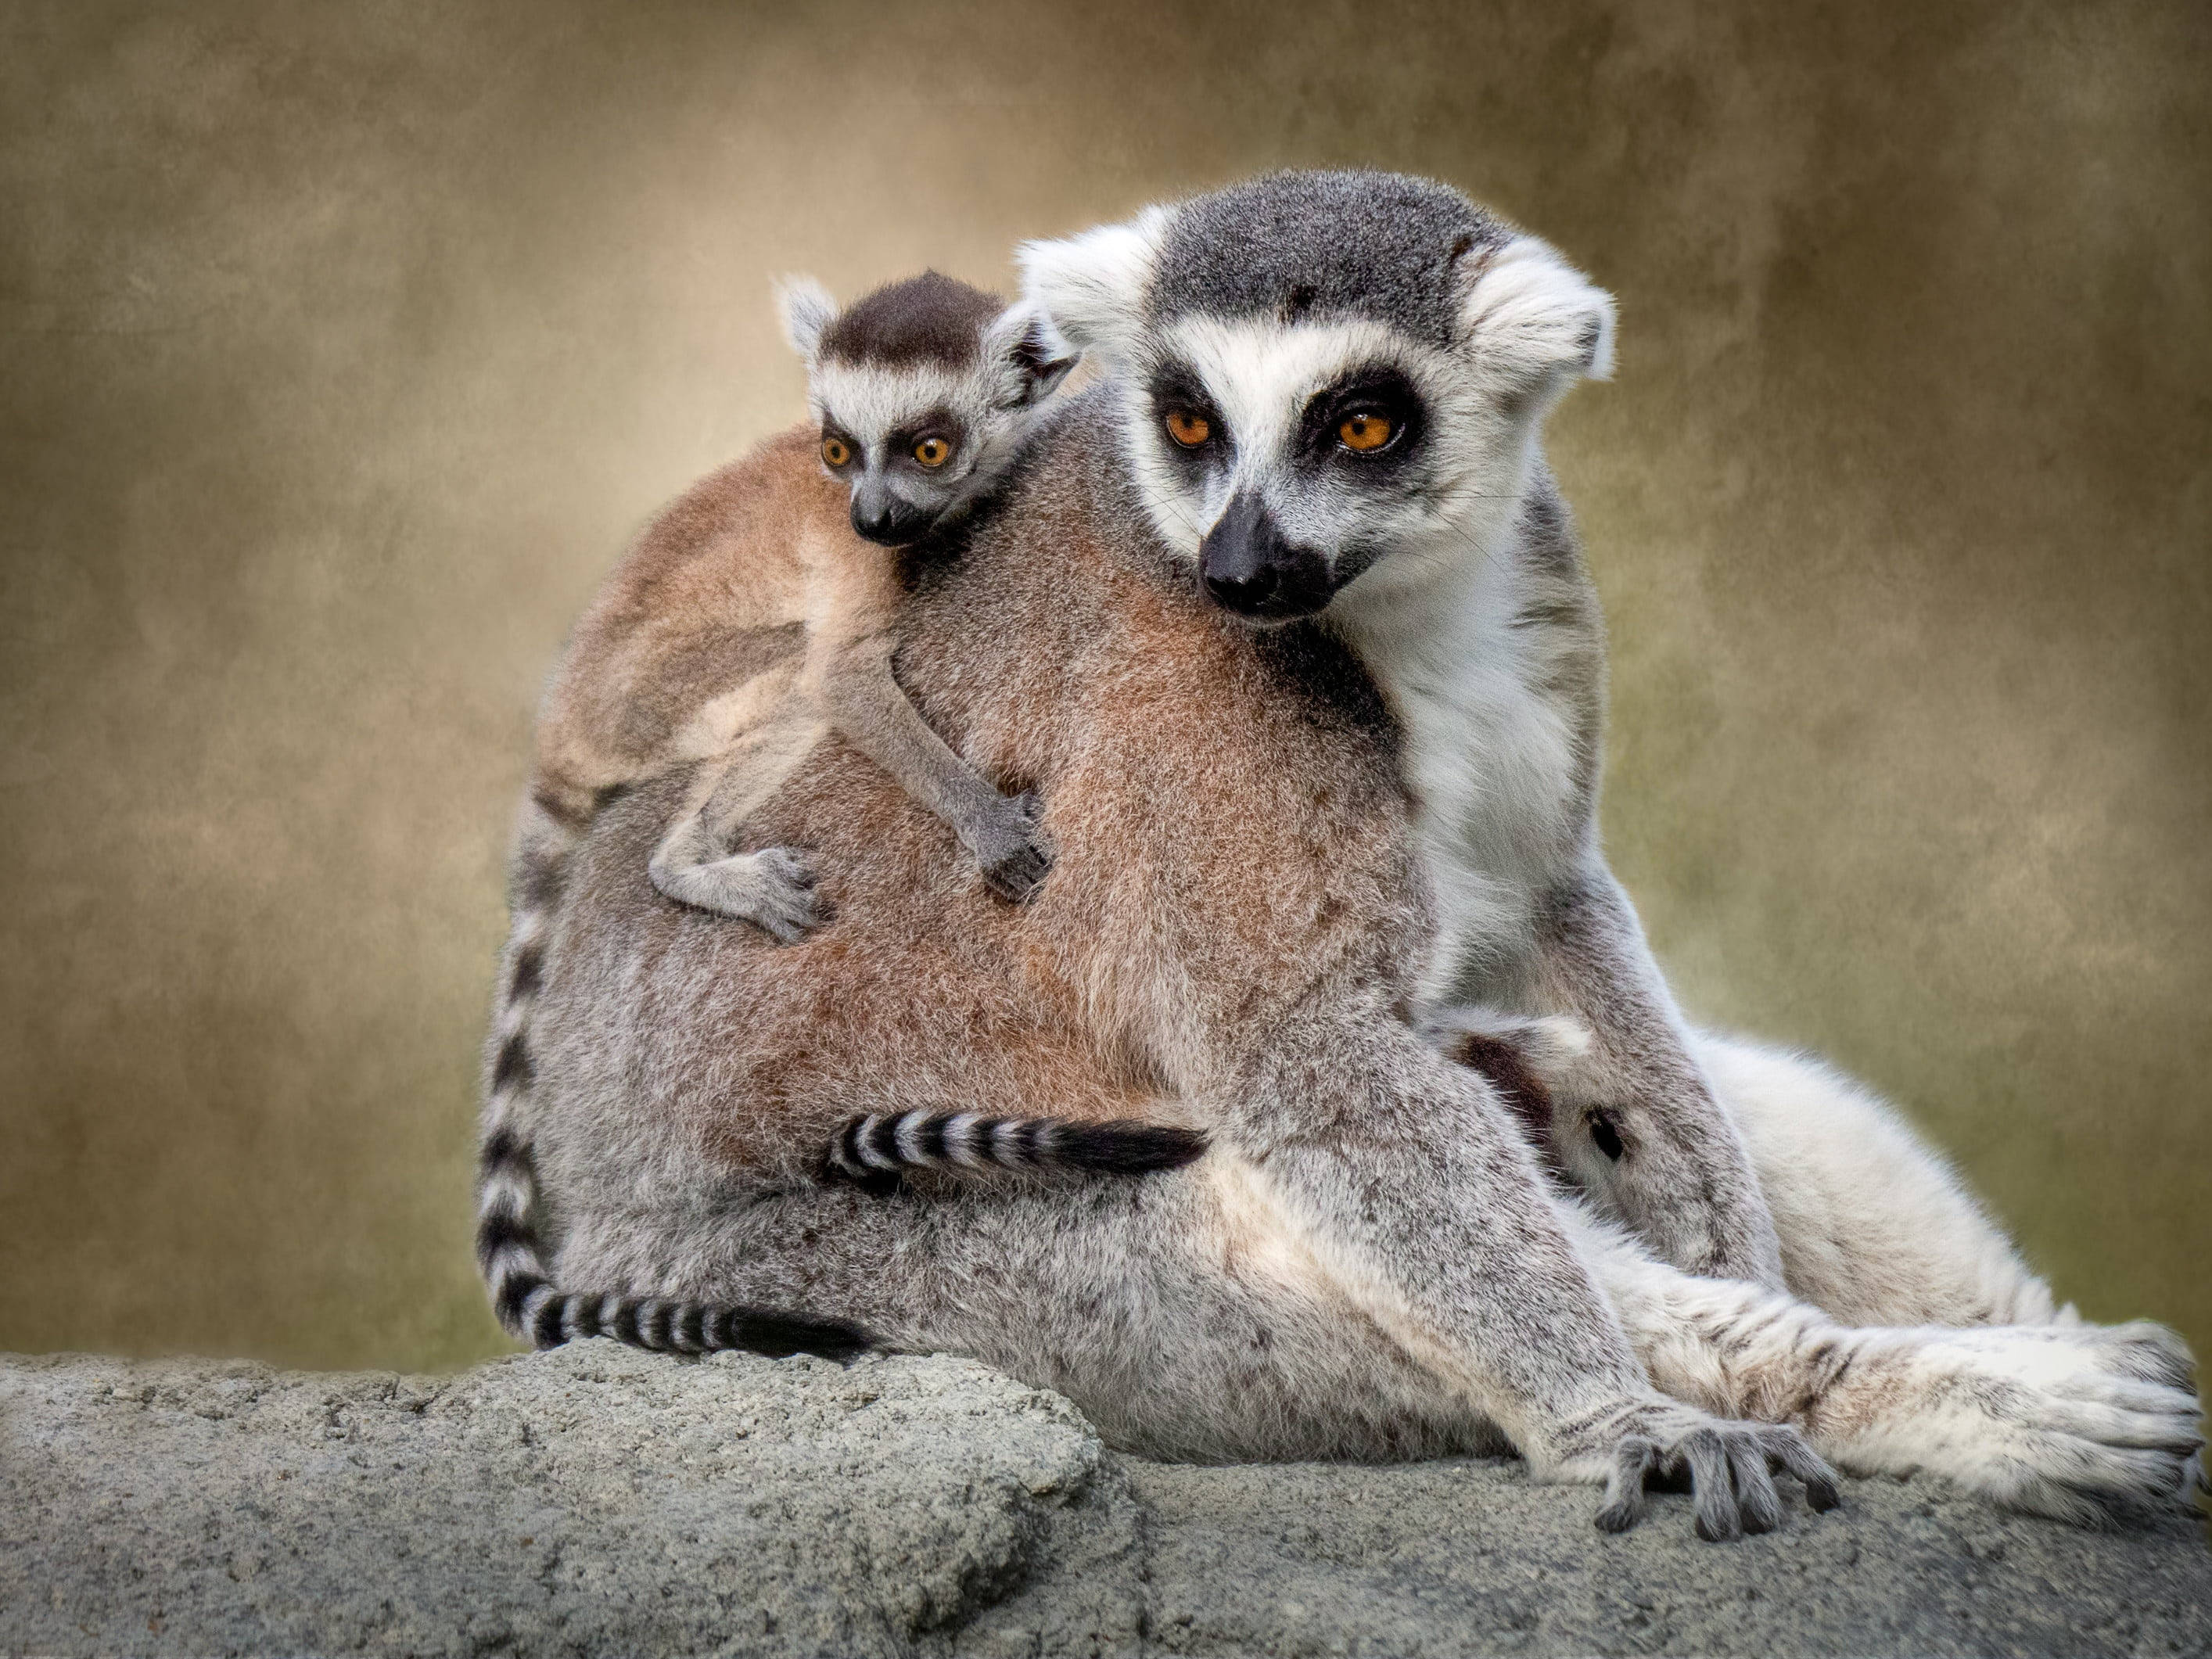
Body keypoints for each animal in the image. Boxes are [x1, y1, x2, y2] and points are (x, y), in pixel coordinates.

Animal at [494, 174, 2202, 1537]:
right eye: (1187, 420)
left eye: (1359, 421)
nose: (1243, 566)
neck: (1403, 616)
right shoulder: (1191, 731)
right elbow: (1303, 1054)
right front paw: (1629, 1422)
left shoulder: (1542, 643)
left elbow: (1564, 903)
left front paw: (1714, 1203)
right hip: (879, 1273)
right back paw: (1900, 1401)